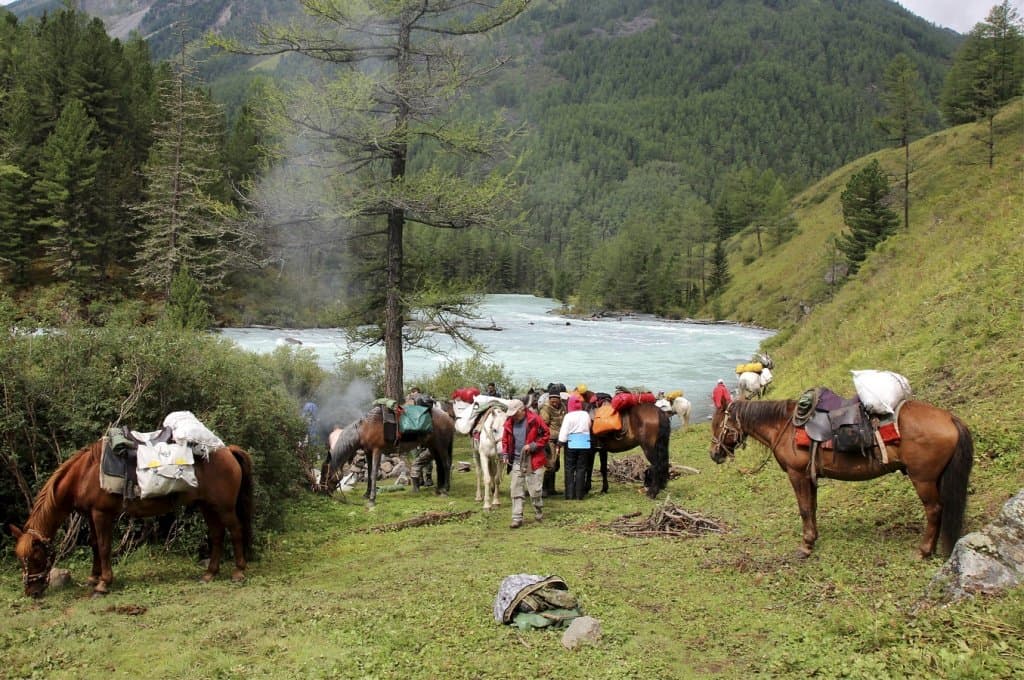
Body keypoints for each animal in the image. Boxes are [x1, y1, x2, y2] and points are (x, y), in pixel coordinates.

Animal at [11, 440, 254, 593]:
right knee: (217, 535)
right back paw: (210, 573)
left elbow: (104, 546)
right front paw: (93, 577)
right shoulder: (91, 515)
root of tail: (228, 450)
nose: (31, 591)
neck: (84, 475)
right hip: (208, 506)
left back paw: (239, 571)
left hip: (224, 507)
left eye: (35, 558)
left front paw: (104, 583)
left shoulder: (101, 514)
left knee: (236, 531)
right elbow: (94, 545)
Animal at [325, 403, 454, 503]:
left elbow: (373, 474)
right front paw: (367, 494)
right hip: (433, 447)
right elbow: (369, 473)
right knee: (439, 465)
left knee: (446, 464)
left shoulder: (377, 451)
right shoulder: (368, 452)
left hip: (441, 446)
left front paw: (372, 498)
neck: (366, 428)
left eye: (329, 477)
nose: (327, 493)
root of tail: (448, 417)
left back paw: (445, 489)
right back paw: (438, 489)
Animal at [712, 399, 974, 557]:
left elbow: (804, 509)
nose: (714, 454)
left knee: (934, 510)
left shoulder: (797, 475)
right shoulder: (810, 476)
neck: (784, 427)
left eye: (716, 425)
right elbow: (812, 508)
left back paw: (924, 551)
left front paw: (805, 546)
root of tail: (950, 418)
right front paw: (813, 539)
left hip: (923, 479)